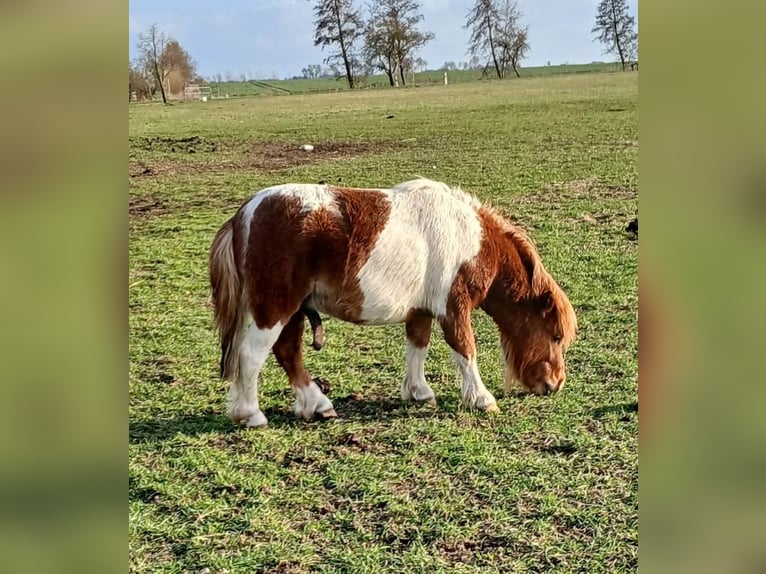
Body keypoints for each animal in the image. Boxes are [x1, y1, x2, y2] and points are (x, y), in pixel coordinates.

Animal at [209, 178, 577, 427]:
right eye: (556, 336)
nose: (556, 383)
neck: (472, 239)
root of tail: (244, 214)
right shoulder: (454, 309)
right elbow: (465, 350)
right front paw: (481, 399)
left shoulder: (422, 311)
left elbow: (417, 347)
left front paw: (418, 391)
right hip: (275, 307)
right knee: (252, 356)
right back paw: (251, 414)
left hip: (294, 309)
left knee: (288, 353)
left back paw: (317, 404)